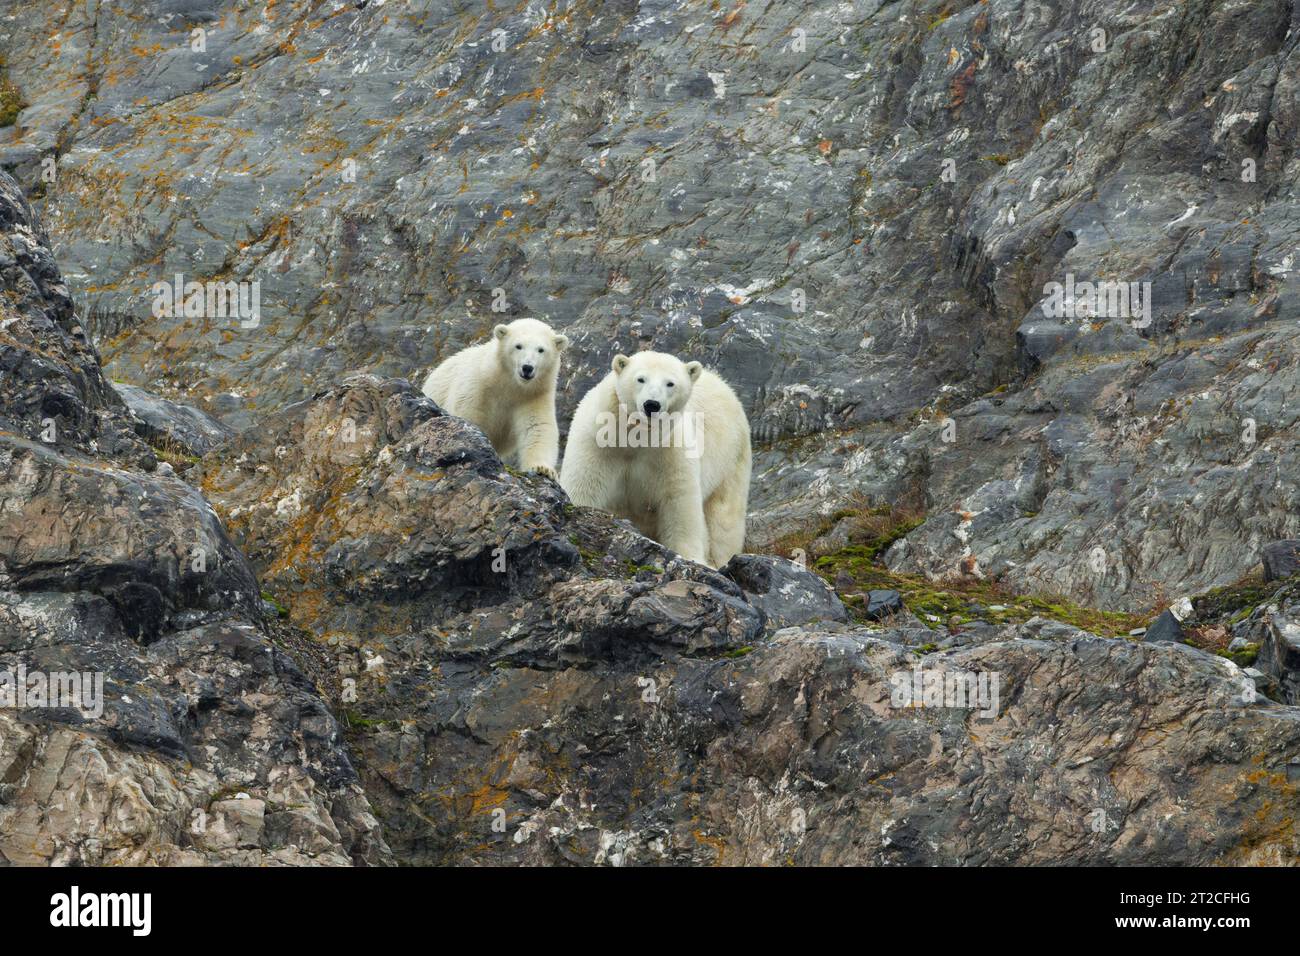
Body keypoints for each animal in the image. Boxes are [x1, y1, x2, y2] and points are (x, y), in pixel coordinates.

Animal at [421, 317, 568, 477]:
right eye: (518, 346)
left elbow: (538, 427)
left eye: (541, 349)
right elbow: (468, 415)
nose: (527, 368)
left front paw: (543, 469)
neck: (508, 384)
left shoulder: (534, 395)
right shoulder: (477, 385)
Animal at [559, 350, 751, 568]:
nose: (651, 404)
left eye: (670, 383)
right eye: (640, 379)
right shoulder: (598, 443)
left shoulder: (671, 452)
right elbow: (585, 486)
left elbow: (679, 501)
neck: (636, 437)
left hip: (732, 460)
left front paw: (692, 557)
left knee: (724, 518)